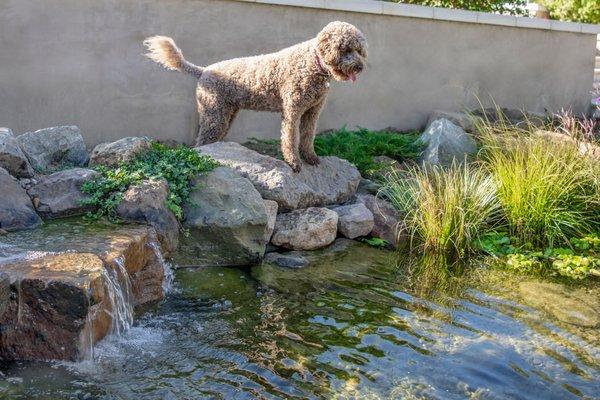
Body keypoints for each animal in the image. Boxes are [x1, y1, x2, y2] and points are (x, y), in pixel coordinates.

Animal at [143, 21, 366, 172]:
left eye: (359, 50)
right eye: (346, 49)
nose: (360, 67)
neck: (313, 63)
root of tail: (203, 70)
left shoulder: (312, 111)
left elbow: (307, 136)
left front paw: (310, 157)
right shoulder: (292, 111)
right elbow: (290, 138)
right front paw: (294, 162)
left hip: (226, 114)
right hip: (214, 114)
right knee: (201, 143)